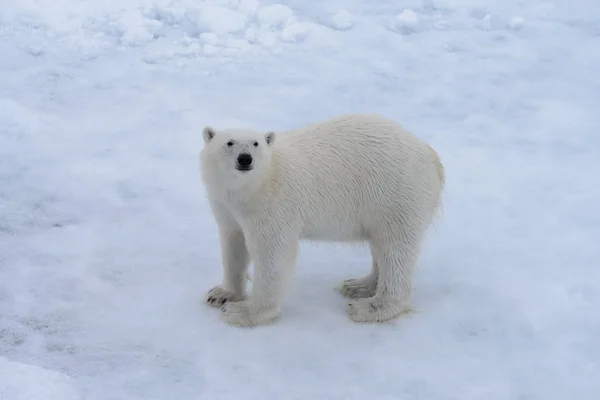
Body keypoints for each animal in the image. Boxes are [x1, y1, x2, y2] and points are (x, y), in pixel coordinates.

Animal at [199, 114, 442, 326]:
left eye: (256, 143)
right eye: (229, 143)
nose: (245, 158)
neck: (252, 187)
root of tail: (431, 155)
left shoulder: (273, 203)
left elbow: (273, 254)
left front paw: (243, 312)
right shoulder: (227, 207)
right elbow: (234, 246)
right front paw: (221, 294)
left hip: (396, 194)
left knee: (395, 249)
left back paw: (370, 307)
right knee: (380, 245)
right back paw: (358, 285)